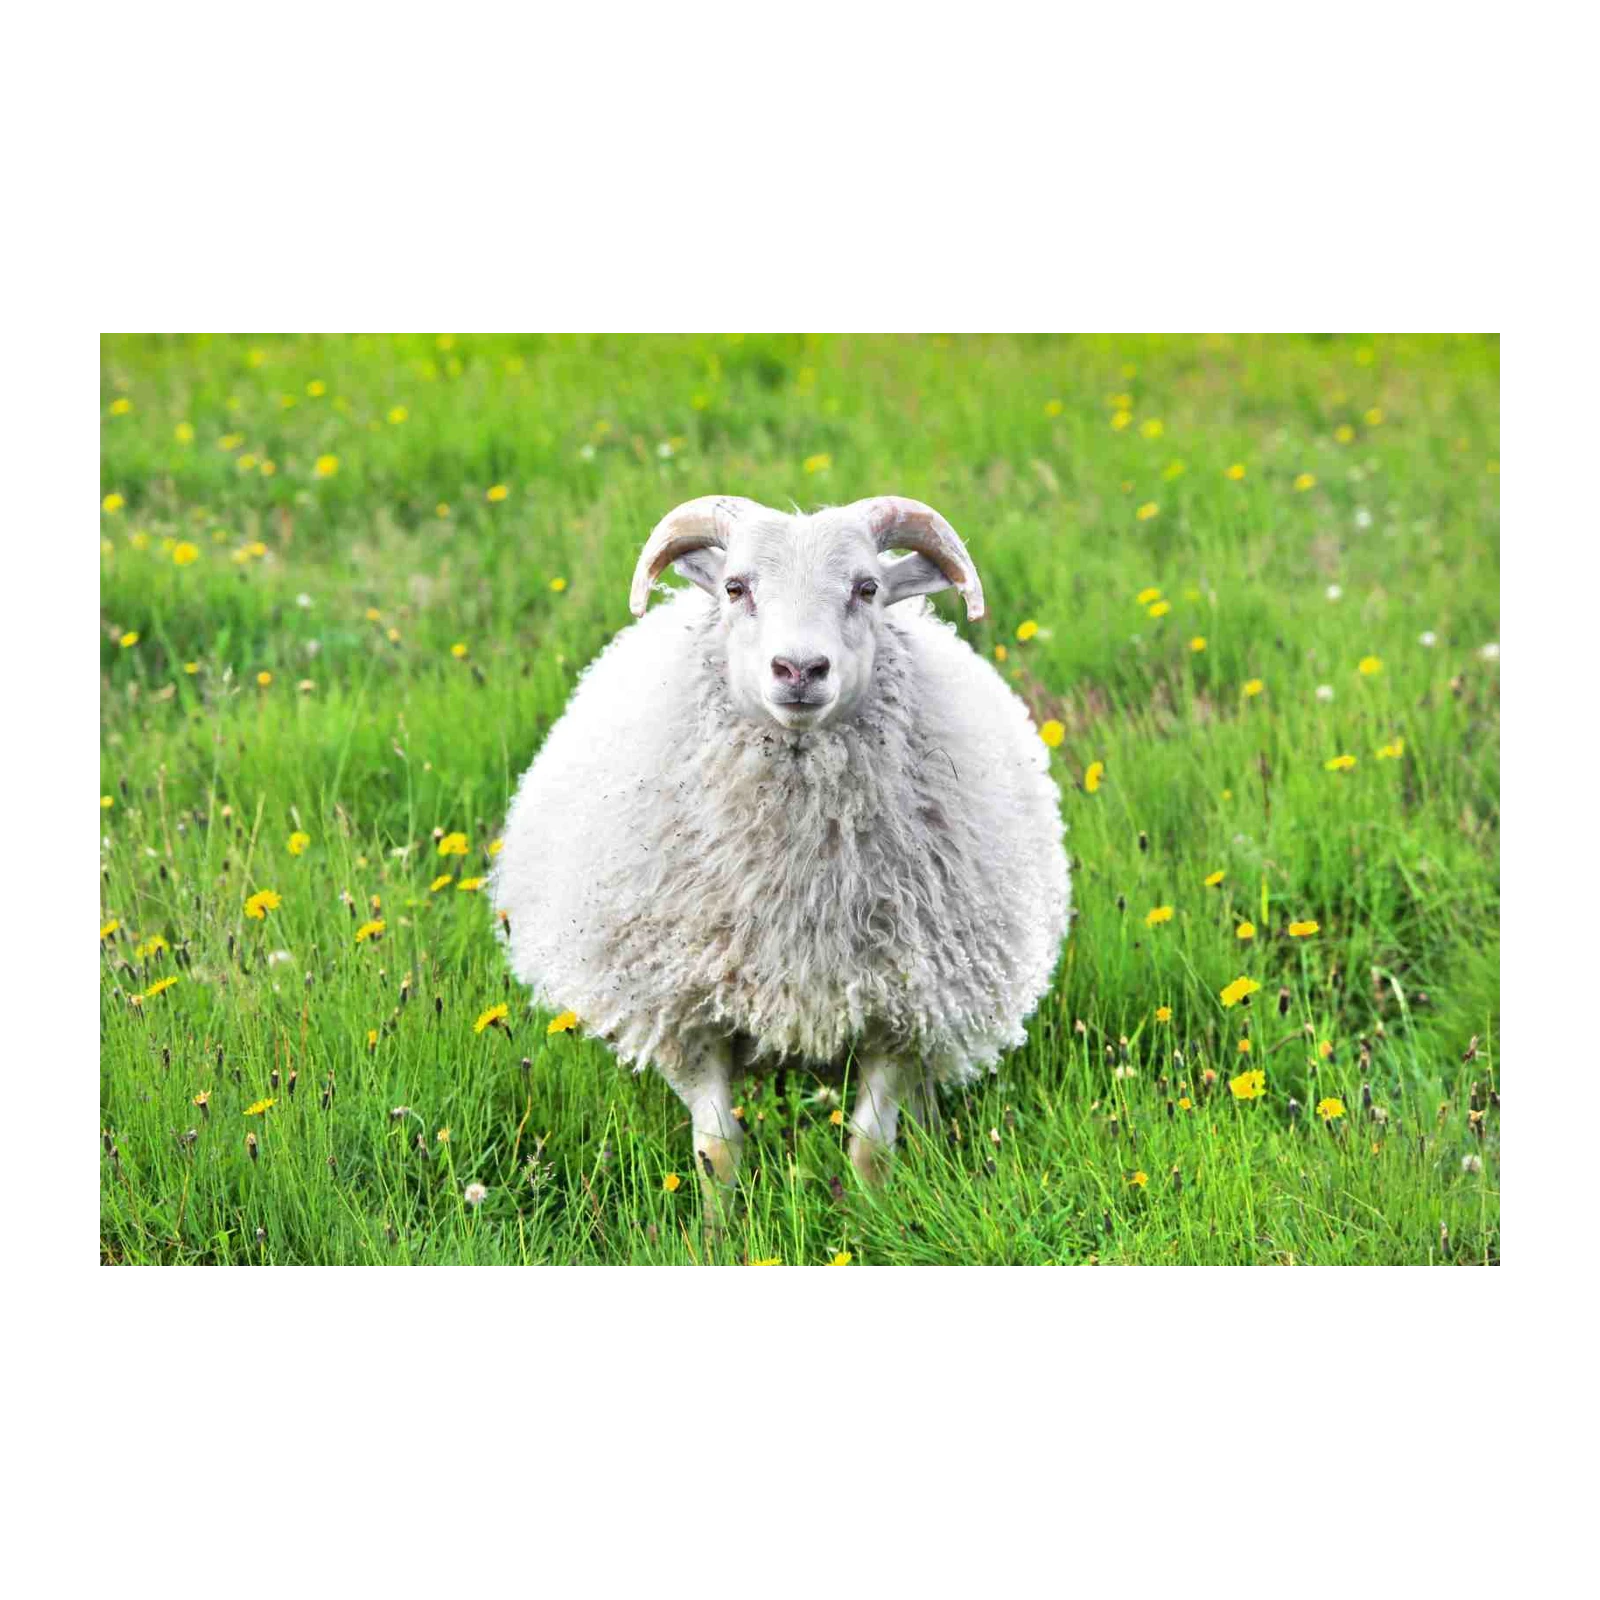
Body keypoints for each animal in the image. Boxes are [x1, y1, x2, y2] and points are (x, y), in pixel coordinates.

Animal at [492, 495, 1069, 1216]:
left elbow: (870, 1148)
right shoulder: (685, 1012)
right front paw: (719, 1228)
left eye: (867, 588)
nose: (799, 670)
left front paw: (870, 1220)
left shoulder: (903, 1011)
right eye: (737, 588)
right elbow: (717, 1150)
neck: (801, 888)